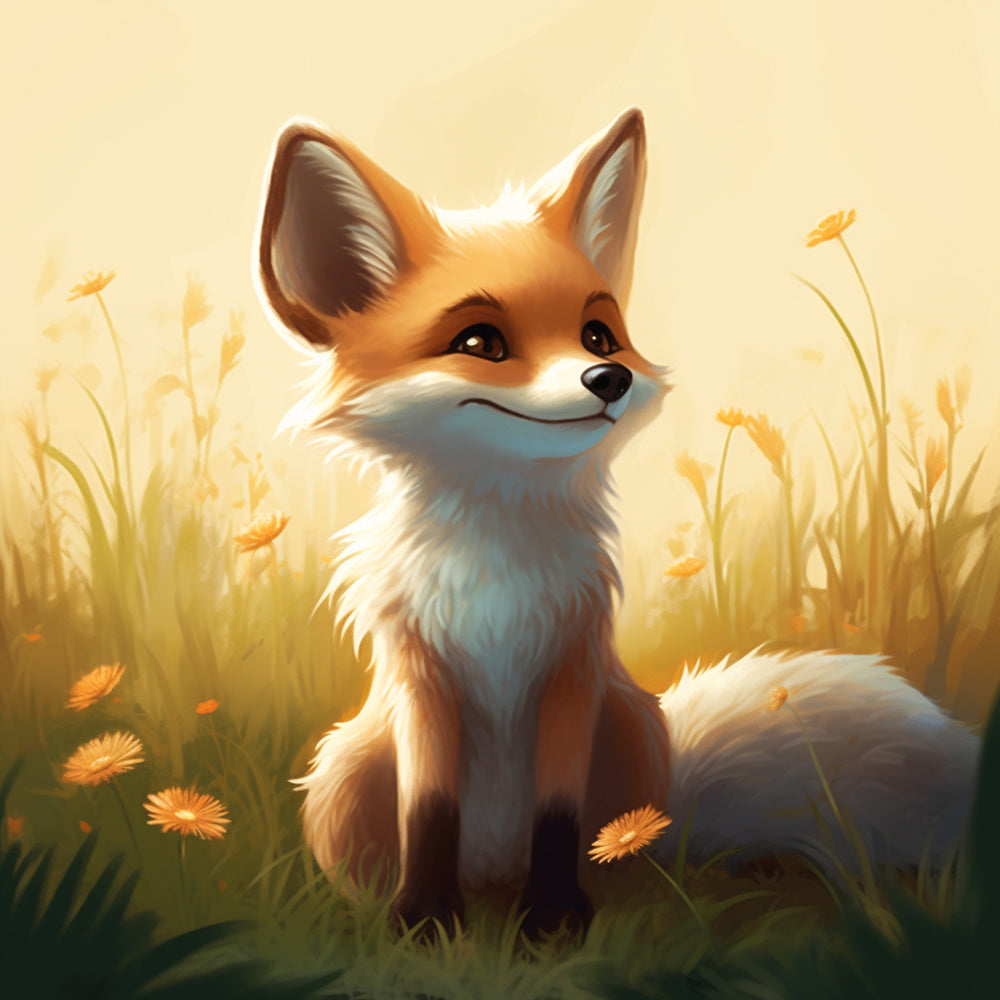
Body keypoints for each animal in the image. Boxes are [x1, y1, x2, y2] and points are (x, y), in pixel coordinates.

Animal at [253, 107, 979, 937]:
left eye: (597, 335)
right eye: (480, 342)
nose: (611, 378)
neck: (497, 573)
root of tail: (491, 869)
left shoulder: (572, 669)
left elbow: (560, 815)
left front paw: (553, 921)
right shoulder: (423, 677)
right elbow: (429, 812)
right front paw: (427, 921)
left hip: (630, 730)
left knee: (626, 851)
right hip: (345, 770)